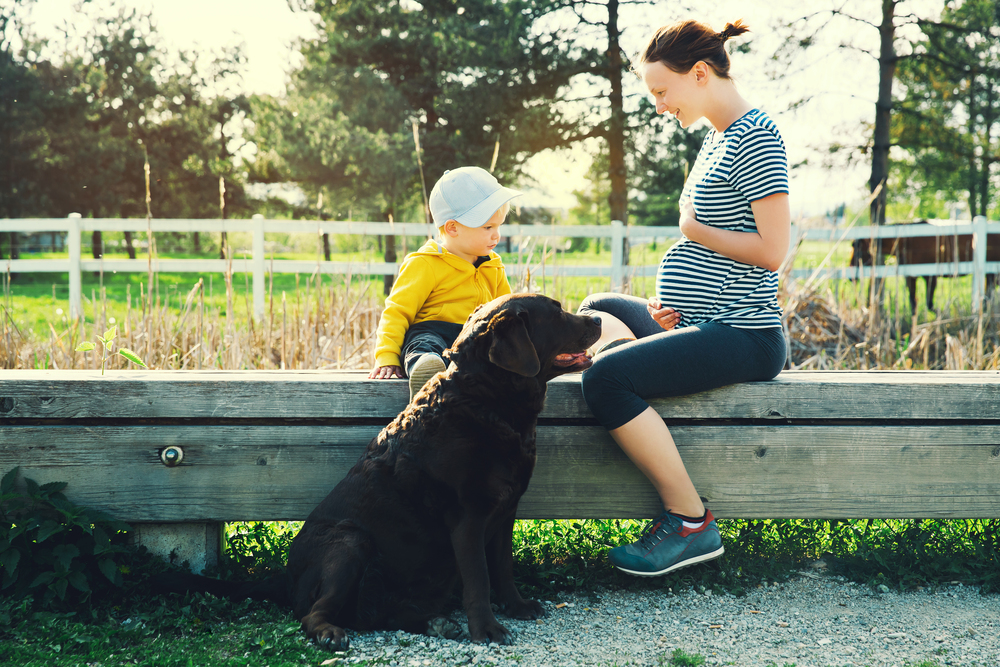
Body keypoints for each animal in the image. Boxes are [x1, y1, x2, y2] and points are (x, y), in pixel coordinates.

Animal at [162, 294, 600, 648]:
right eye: (557, 312)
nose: (596, 317)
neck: (484, 400)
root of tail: (285, 576)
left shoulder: (505, 511)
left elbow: (503, 568)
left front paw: (517, 606)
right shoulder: (468, 518)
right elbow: (479, 578)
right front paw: (488, 629)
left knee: (377, 613)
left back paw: (437, 623)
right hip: (349, 544)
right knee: (316, 614)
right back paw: (331, 633)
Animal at [848, 220, 996, 312]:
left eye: (859, 251)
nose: (851, 277)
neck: (909, 242)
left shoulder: (930, 277)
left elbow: (929, 304)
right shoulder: (910, 278)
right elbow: (913, 304)